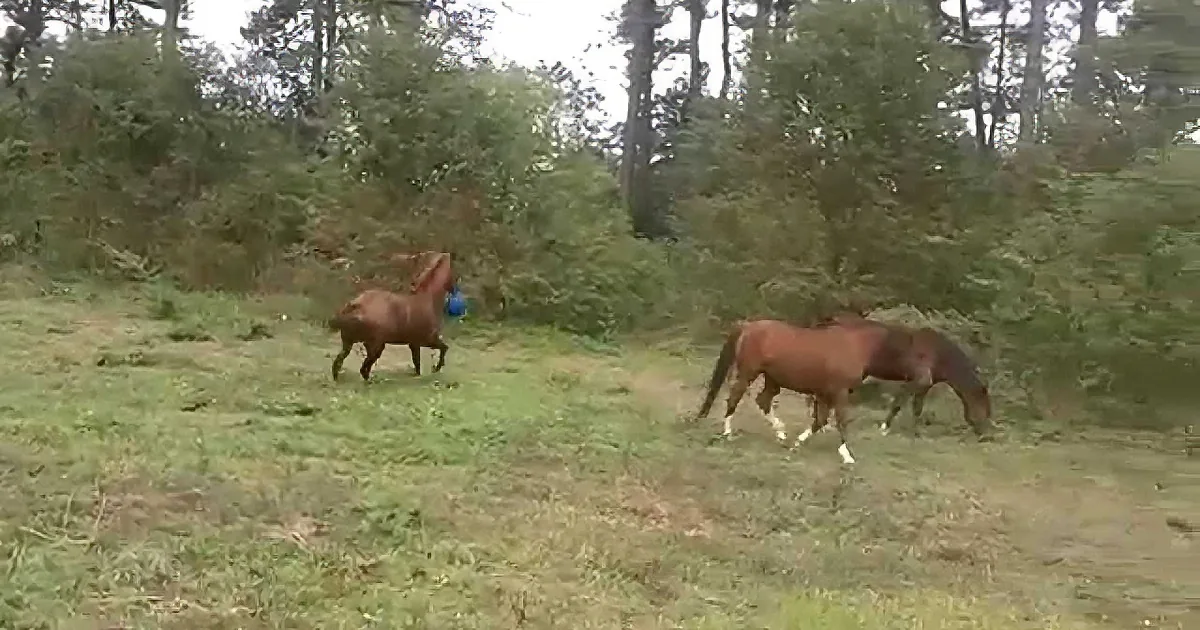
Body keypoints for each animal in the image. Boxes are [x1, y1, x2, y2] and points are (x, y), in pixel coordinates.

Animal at [329, 251, 455, 382]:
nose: (454, 288)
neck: (428, 297)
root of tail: (355, 304)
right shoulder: (428, 339)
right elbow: (444, 348)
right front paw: (437, 368)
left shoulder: (414, 343)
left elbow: (417, 362)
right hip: (376, 345)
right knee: (363, 368)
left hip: (349, 343)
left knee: (338, 363)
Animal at [693, 319, 932, 464]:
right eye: (914, 353)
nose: (927, 378)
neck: (855, 346)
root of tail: (747, 326)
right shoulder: (839, 393)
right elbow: (840, 421)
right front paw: (847, 456)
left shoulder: (824, 394)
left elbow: (820, 421)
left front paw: (797, 443)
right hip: (747, 373)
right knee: (734, 398)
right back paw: (727, 432)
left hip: (772, 379)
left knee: (763, 400)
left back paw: (781, 433)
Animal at [811, 313, 992, 438]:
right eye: (983, 406)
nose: (985, 434)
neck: (939, 354)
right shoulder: (917, 380)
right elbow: (898, 402)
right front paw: (884, 428)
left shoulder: (924, 386)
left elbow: (917, 408)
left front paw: (916, 433)